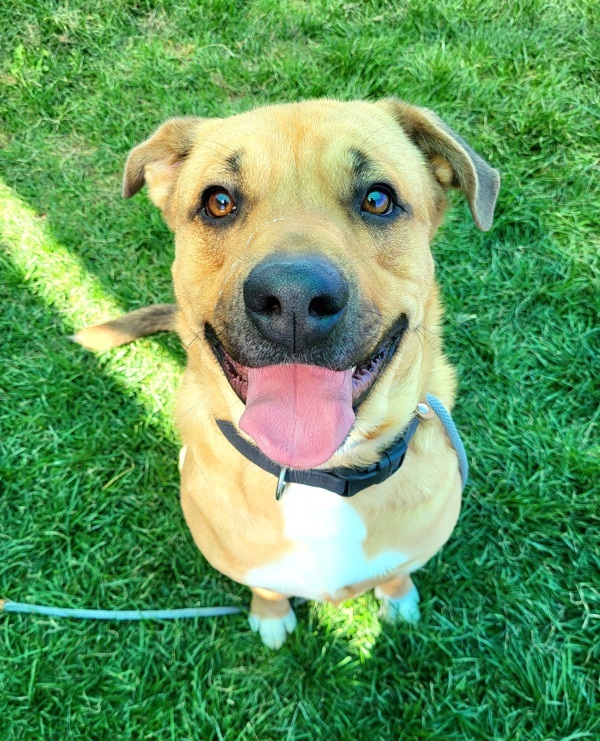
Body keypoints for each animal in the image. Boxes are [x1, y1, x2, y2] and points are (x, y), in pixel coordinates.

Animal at [72, 99, 500, 648]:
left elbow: (397, 572)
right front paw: (271, 616)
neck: (321, 476)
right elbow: (267, 586)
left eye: (378, 199)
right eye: (218, 202)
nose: (294, 297)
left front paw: (399, 598)